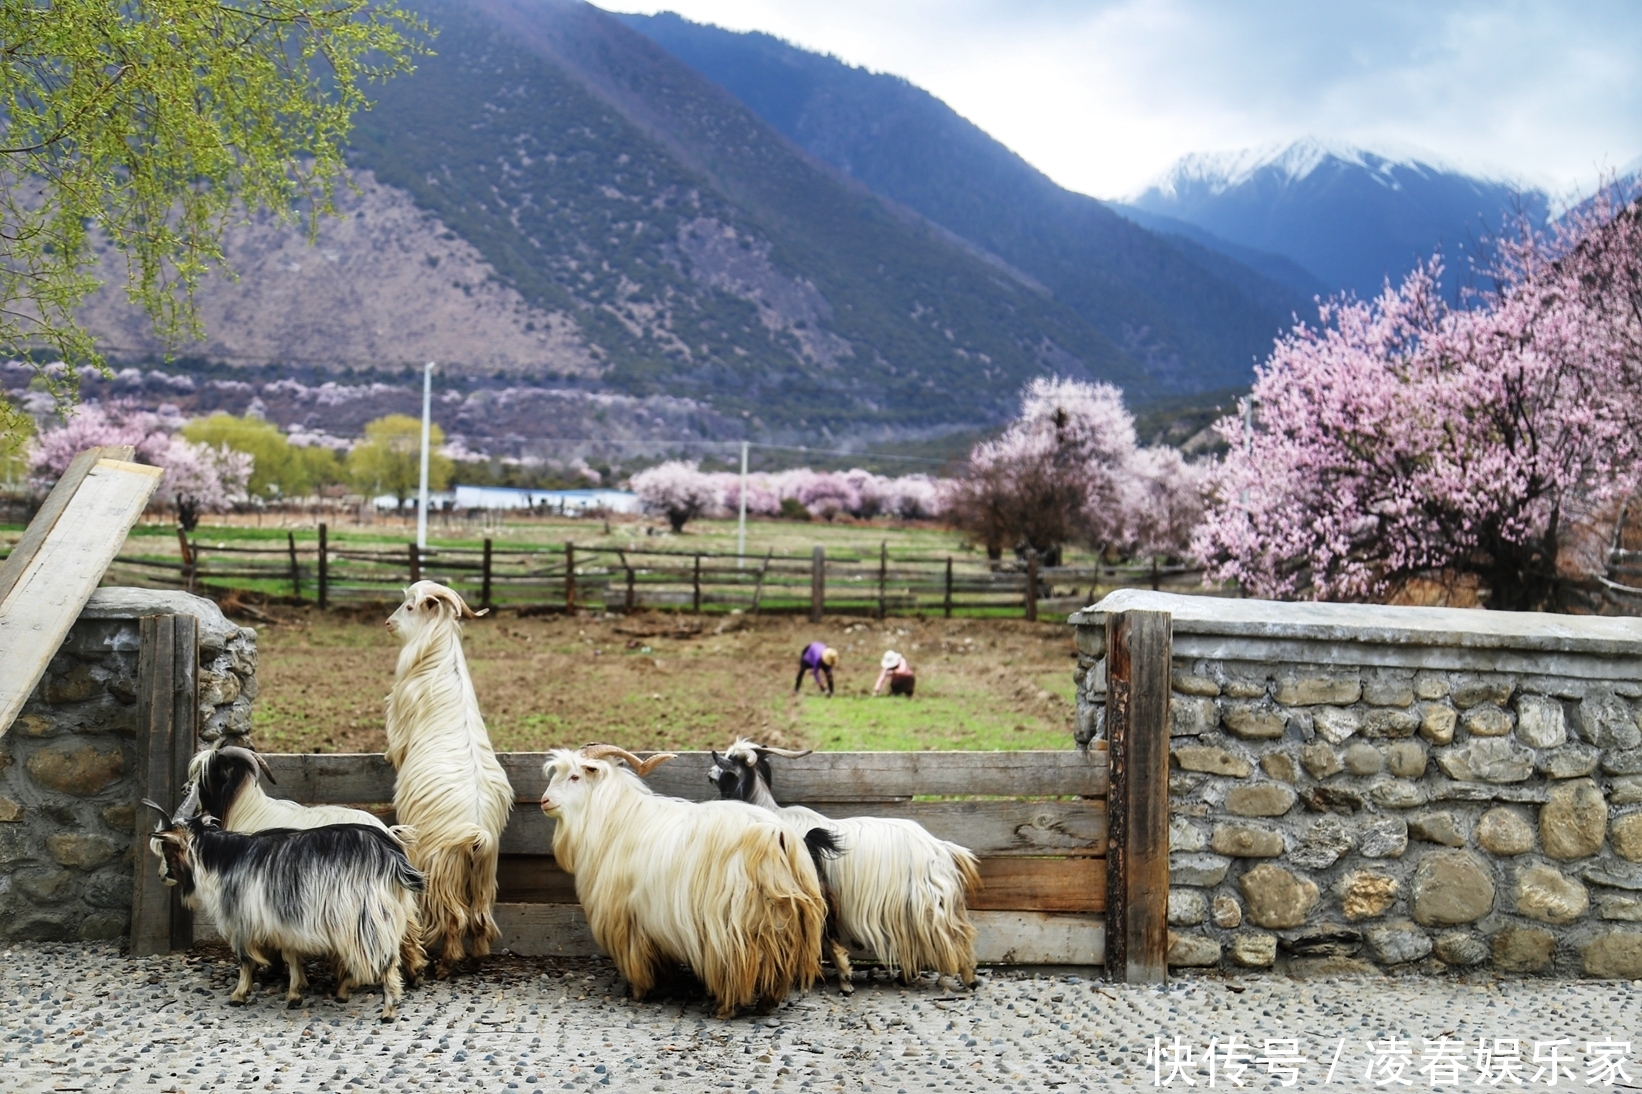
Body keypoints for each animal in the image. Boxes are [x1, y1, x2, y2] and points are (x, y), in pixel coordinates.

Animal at [142, 791, 423, 1011]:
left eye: (167, 848)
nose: (161, 876)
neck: (224, 859)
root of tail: (391, 853)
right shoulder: (283, 920)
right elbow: (291, 954)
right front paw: (296, 992)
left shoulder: (243, 919)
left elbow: (246, 959)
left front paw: (239, 994)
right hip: (388, 910)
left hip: (363, 915)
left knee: (382, 956)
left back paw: (384, 1007)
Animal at [384, 578, 512, 972]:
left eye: (410, 606)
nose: (388, 623)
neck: (440, 657)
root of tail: (477, 835)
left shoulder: (400, 715)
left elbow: (396, 746)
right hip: (484, 875)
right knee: (481, 917)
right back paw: (479, 954)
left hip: (441, 870)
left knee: (454, 917)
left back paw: (446, 960)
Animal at [541, 742, 834, 1011]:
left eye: (575, 776)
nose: (544, 801)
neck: (613, 818)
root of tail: (776, 835)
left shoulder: (627, 919)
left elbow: (637, 960)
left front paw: (639, 991)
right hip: (784, 915)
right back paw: (769, 1000)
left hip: (733, 921)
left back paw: (727, 1006)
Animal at [709, 742, 985, 985]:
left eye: (729, 762)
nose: (710, 773)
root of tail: (940, 847)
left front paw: (843, 974)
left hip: (927, 901)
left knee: (954, 933)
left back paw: (966, 977)